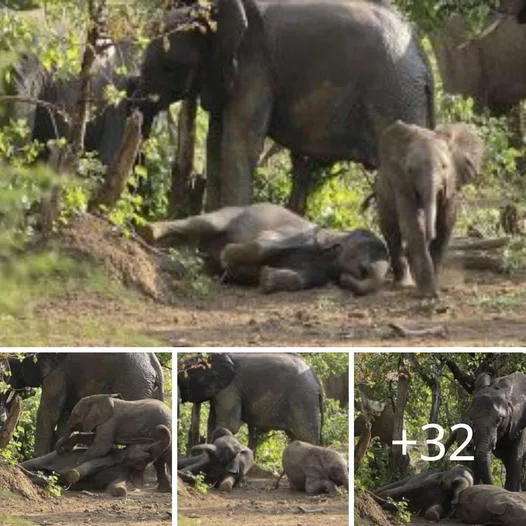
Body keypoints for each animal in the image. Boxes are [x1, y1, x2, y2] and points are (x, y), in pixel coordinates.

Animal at [22, 424, 170, 500]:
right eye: (146, 450)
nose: (158, 427)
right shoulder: (106, 458)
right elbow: (83, 467)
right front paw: (71, 475)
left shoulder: (123, 473)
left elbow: (118, 487)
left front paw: (121, 490)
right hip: (51, 456)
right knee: (32, 463)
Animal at [142, 203, 390, 296]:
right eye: (364, 246)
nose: (347, 279)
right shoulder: (298, 234)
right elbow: (264, 242)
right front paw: (228, 256)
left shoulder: (319, 271)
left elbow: (299, 280)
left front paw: (265, 278)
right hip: (230, 212)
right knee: (201, 223)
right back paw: (149, 231)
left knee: (193, 265)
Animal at [179, 352, 324, 452]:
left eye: (185, 379)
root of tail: (317, 380)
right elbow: (213, 424)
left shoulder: (230, 389)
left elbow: (229, 425)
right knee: (295, 437)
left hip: (304, 399)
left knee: (306, 436)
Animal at [378, 121, 484, 300]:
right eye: (410, 170)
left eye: (444, 167)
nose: (430, 234)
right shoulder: (402, 184)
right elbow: (412, 224)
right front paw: (429, 293)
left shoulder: (452, 183)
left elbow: (446, 222)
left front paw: (435, 287)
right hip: (383, 195)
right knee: (391, 231)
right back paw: (402, 284)